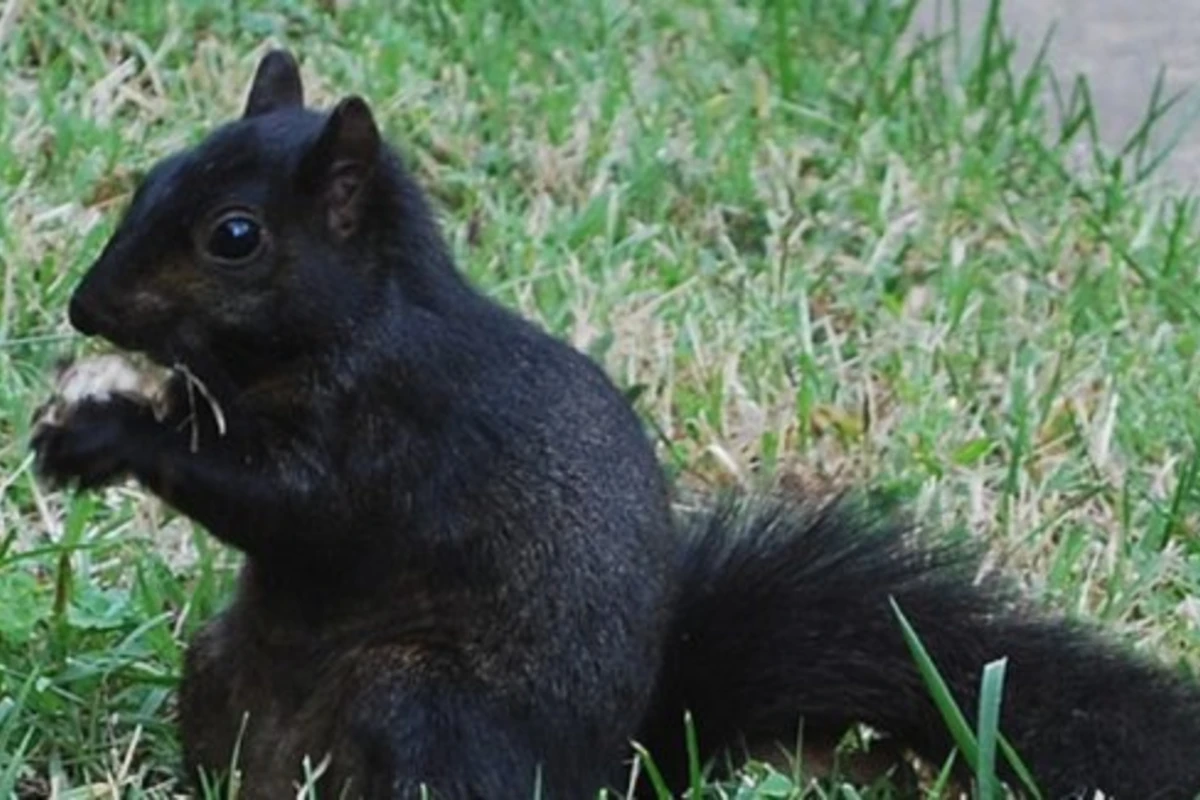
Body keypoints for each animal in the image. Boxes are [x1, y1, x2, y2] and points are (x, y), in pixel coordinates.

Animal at [29, 49, 1200, 800]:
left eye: (235, 236)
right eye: (155, 173)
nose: (85, 307)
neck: (345, 326)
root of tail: (603, 776)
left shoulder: (402, 431)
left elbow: (289, 505)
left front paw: (110, 436)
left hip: (415, 703)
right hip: (219, 669)